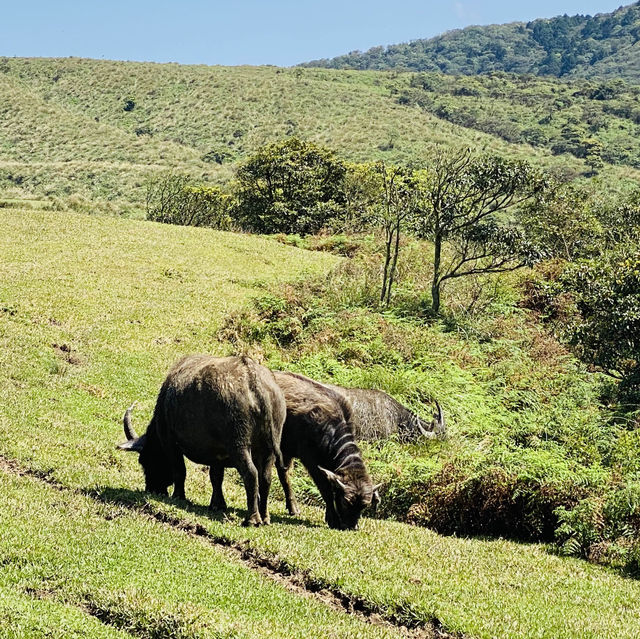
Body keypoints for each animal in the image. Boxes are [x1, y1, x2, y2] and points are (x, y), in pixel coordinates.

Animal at [117, 352, 284, 528]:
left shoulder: (170, 442)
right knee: (265, 477)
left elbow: (180, 470)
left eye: (145, 461)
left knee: (251, 473)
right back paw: (265, 517)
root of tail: (254, 380)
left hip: (239, 445)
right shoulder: (218, 454)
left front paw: (179, 496)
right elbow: (216, 477)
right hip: (269, 449)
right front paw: (217, 505)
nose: (152, 488)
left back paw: (252, 519)